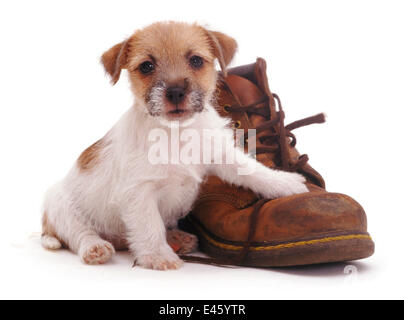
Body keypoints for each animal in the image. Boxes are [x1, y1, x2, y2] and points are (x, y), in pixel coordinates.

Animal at [41, 20, 308, 270]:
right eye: (146, 66)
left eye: (196, 60)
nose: (176, 92)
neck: (177, 132)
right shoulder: (139, 191)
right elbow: (149, 224)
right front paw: (158, 255)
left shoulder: (219, 154)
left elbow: (252, 170)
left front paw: (286, 183)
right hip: (61, 208)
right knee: (79, 233)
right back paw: (95, 247)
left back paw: (176, 237)